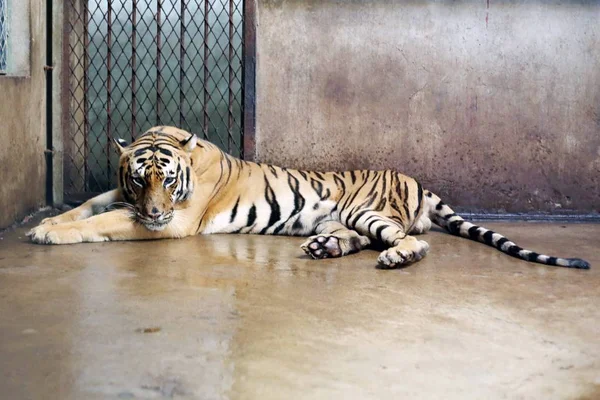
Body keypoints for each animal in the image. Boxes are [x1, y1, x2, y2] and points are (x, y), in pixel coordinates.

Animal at [27, 125, 592, 268]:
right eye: (139, 180)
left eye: (168, 183)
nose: (154, 211)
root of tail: (416, 180)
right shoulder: (121, 196)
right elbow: (89, 206)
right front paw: (50, 221)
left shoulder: (178, 221)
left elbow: (100, 222)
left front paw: (47, 233)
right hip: (337, 218)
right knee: (358, 239)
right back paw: (326, 249)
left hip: (365, 208)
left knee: (412, 242)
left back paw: (396, 257)